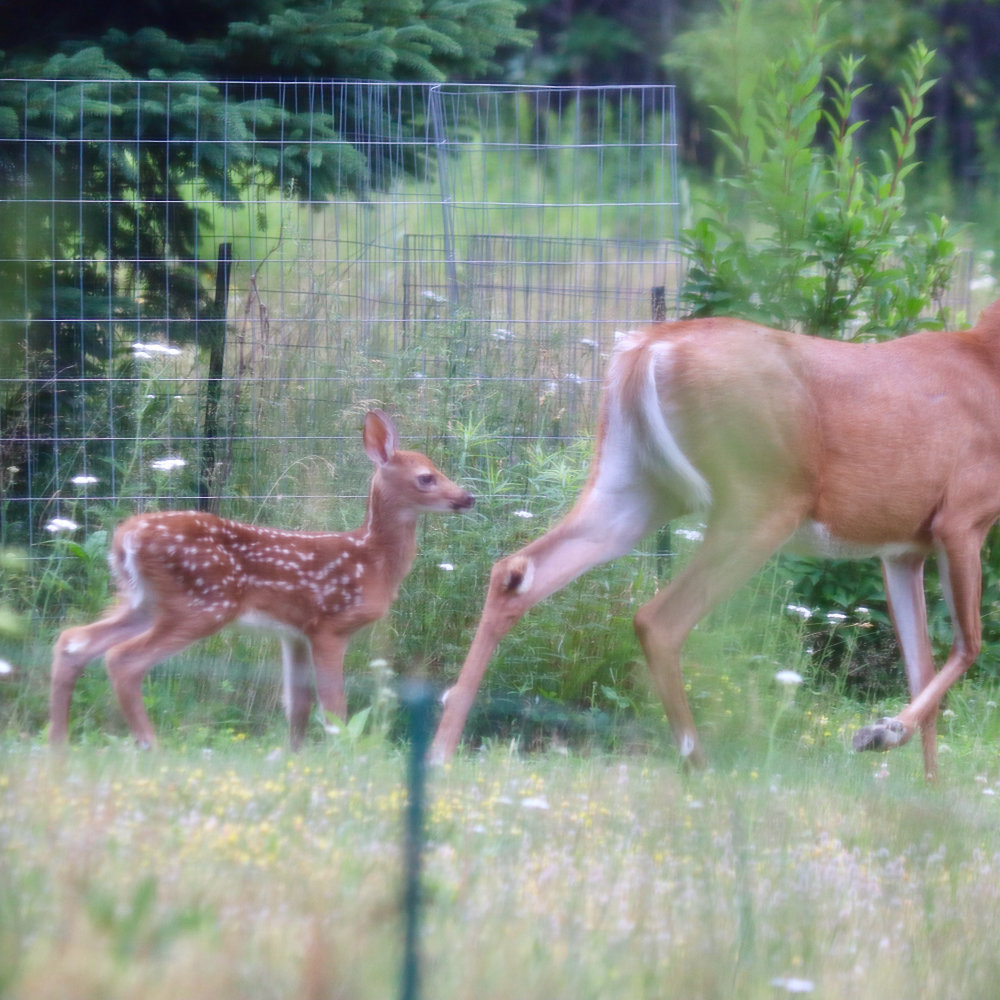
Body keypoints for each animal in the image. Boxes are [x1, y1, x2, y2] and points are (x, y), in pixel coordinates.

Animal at [51, 408, 476, 752]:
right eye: (426, 477)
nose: (468, 497)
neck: (372, 560)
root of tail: (126, 537)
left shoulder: (294, 632)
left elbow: (298, 705)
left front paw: (294, 757)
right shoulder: (329, 624)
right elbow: (334, 708)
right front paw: (340, 757)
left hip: (143, 601)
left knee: (73, 641)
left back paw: (59, 745)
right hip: (203, 603)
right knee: (123, 659)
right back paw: (149, 745)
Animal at [432, 300, 1000, 776]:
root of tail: (649, 346)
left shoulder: (903, 548)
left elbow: (921, 663)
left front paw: (926, 787)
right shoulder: (964, 517)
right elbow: (969, 646)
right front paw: (880, 734)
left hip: (634, 484)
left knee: (516, 571)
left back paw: (443, 745)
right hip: (762, 498)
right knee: (659, 619)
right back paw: (701, 766)